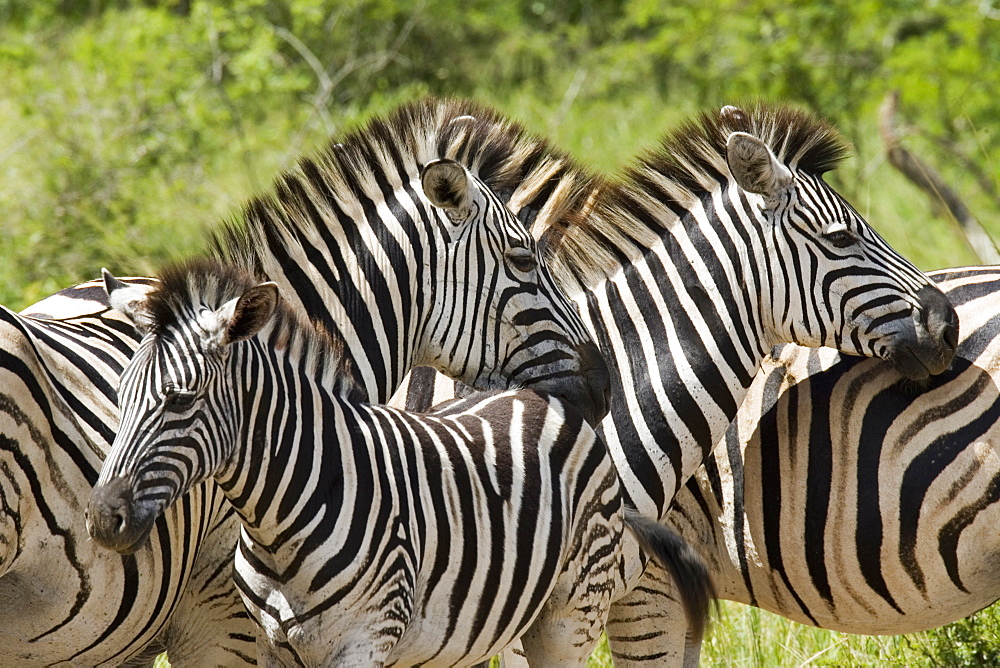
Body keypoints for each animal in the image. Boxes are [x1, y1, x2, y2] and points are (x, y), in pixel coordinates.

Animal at [84, 260, 712, 668]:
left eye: (180, 399)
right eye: (120, 393)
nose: (102, 519)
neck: (280, 520)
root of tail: (541, 395)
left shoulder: (365, 642)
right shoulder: (272, 648)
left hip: (570, 614)